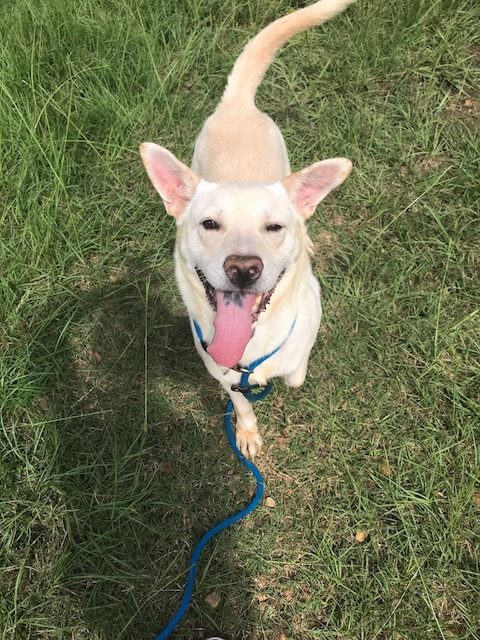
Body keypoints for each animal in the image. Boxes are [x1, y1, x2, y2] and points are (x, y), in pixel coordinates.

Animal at [141, 0, 354, 460]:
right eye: (209, 223)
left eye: (274, 226)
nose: (243, 268)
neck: (247, 351)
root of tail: (237, 103)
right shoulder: (222, 373)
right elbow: (241, 403)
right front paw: (247, 431)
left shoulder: (305, 328)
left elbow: (295, 372)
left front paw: (287, 375)